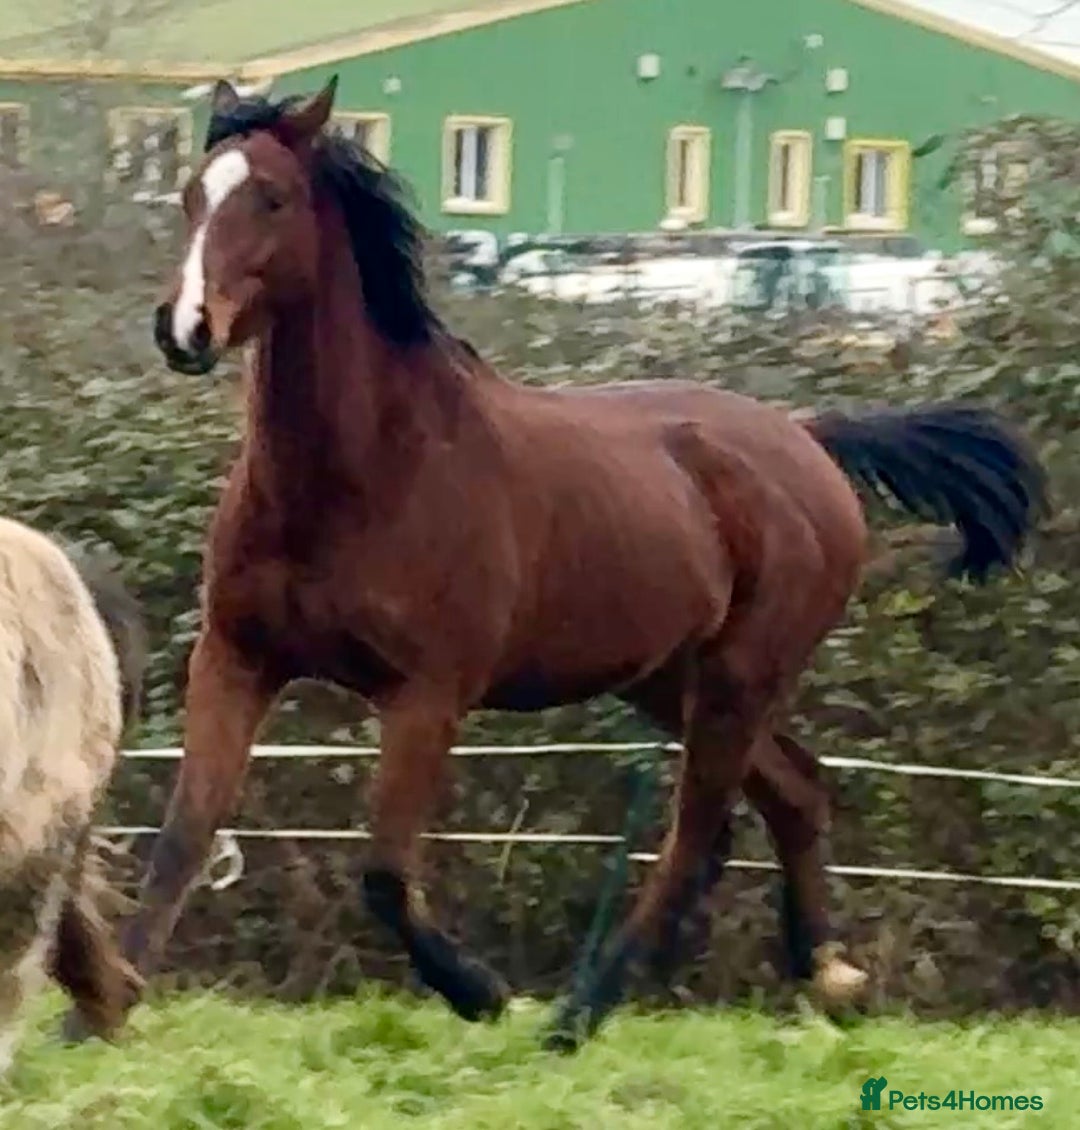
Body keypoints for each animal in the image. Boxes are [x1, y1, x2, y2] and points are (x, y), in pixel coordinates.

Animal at [115, 76, 1046, 1052]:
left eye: (272, 197)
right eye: (190, 194)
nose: (185, 329)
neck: (364, 472)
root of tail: (806, 438)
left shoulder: (427, 695)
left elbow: (383, 873)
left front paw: (482, 993)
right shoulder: (237, 659)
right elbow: (181, 839)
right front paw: (92, 1018)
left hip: (739, 676)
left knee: (697, 836)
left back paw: (575, 1015)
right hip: (670, 678)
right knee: (792, 794)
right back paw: (827, 975)